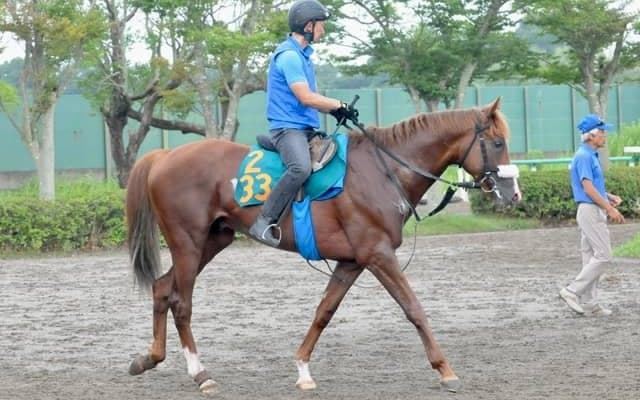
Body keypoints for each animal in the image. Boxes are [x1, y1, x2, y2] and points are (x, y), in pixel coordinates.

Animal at [125, 98, 521, 394]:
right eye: (498, 143)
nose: (513, 193)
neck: (382, 171)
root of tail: (164, 156)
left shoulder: (352, 261)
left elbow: (324, 312)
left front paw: (302, 369)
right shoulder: (379, 254)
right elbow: (414, 309)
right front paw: (445, 369)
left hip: (212, 240)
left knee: (162, 288)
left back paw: (149, 358)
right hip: (188, 243)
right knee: (181, 302)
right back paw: (200, 373)